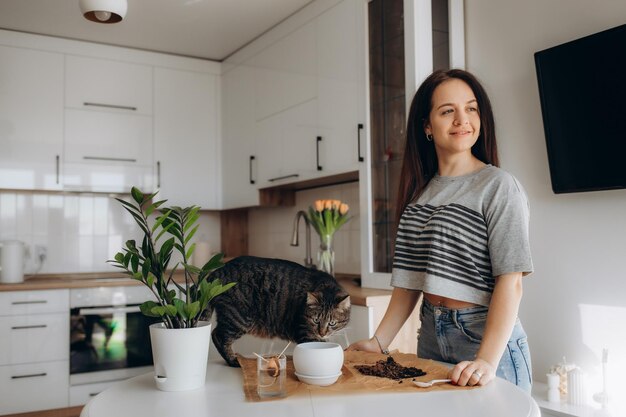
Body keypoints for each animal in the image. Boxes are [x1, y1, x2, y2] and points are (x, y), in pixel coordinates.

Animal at [205, 255, 352, 366]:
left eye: (332, 323)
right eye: (316, 320)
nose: (322, 333)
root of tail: (220, 270)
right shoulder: (304, 333)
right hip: (238, 319)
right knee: (218, 336)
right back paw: (233, 360)